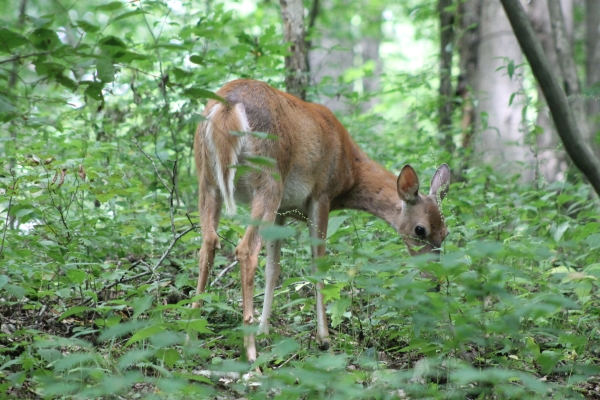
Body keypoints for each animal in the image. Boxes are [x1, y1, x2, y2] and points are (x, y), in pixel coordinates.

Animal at [192, 78, 450, 362]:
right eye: (420, 230)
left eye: (445, 233)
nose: (435, 281)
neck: (350, 169)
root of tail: (228, 105)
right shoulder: (321, 196)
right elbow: (318, 267)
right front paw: (324, 338)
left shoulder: (282, 212)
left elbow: (273, 269)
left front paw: (264, 330)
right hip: (268, 179)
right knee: (246, 250)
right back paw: (250, 354)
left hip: (207, 178)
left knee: (208, 244)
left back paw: (189, 333)